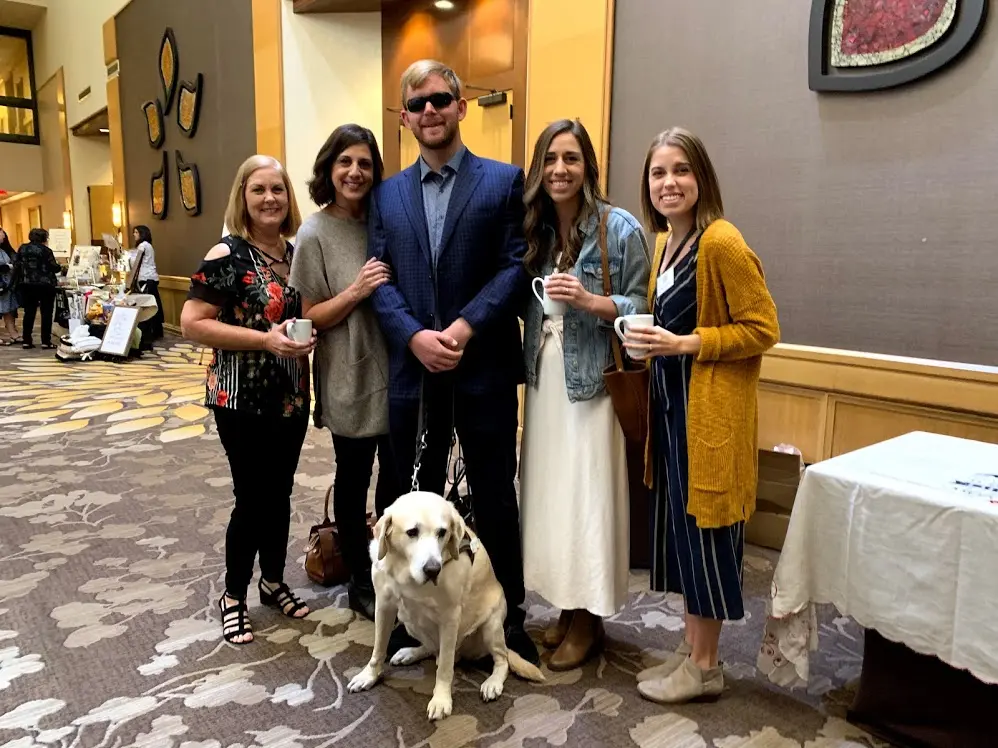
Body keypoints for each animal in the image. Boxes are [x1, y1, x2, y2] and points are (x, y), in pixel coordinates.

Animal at [348, 490, 544, 720]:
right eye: (412, 532)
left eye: (442, 532)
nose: (433, 569)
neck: (405, 572)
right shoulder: (384, 606)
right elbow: (378, 649)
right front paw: (369, 676)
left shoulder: (450, 618)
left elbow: (445, 668)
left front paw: (441, 699)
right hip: (411, 623)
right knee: (435, 649)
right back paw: (410, 653)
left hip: (491, 626)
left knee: (499, 658)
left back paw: (492, 683)